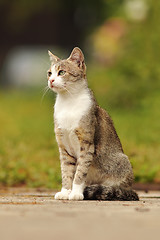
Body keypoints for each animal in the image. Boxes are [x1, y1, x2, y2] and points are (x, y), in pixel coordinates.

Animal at [47, 47, 139, 201]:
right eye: (49, 73)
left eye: (62, 72)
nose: (51, 80)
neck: (68, 103)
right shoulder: (64, 146)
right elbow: (66, 172)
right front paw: (65, 191)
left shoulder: (87, 143)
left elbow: (80, 171)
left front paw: (76, 192)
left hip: (122, 162)